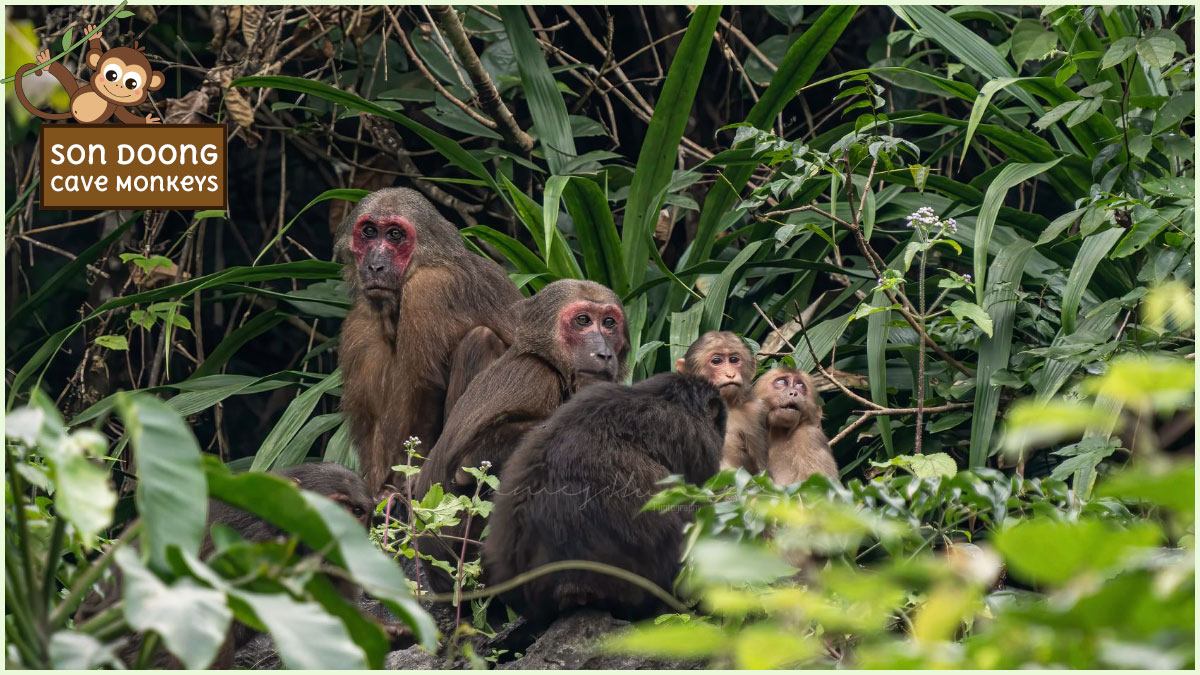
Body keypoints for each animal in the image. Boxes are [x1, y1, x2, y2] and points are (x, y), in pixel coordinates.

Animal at [338, 186, 525, 492]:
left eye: (394, 235)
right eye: (369, 232)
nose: (375, 265)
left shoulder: (428, 290)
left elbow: (425, 388)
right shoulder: (359, 328)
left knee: (479, 341)